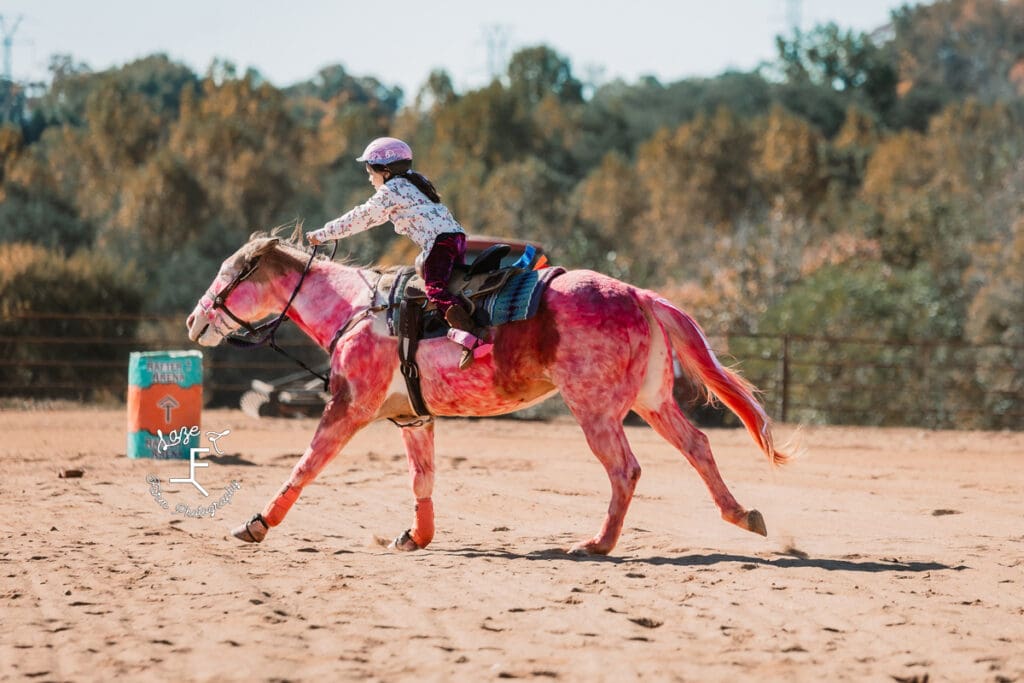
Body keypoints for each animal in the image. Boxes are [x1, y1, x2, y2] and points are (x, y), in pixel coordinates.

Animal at [188, 231, 786, 557]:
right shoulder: (413, 419)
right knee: (698, 447)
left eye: (229, 273)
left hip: (596, 411)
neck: (359, 311)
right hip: (652, 402)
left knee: (625, 470)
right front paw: (416, 536)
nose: (195, 320)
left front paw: (256, 523)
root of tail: (638, 294)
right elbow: (422, 477)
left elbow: (307, 464)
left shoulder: (348, 406)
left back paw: (597, 544)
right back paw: (744, 516)